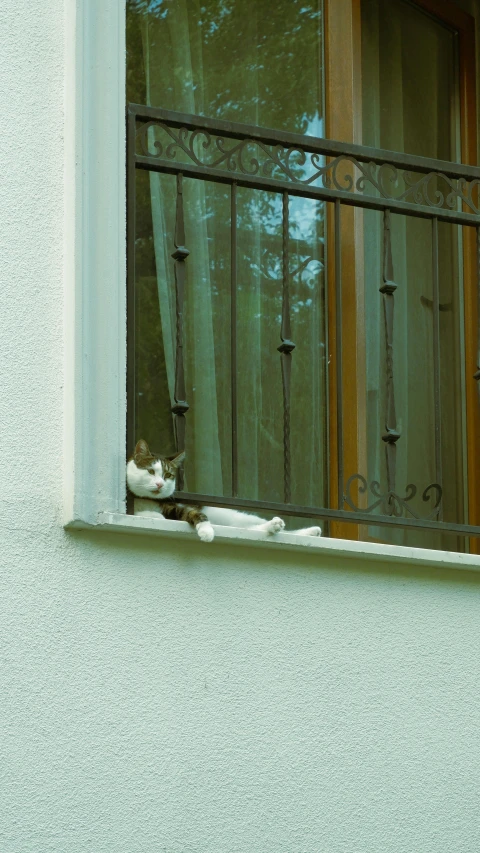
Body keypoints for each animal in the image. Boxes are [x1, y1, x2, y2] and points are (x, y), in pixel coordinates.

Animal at [127, 436, 322, 544]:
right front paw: (152, 514)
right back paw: (278, 527)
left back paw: (303, 530)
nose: (160, 484)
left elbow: (195, 514)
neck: (145, 500)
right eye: (151, 472)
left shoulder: (178, 506)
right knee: (253, 529)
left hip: (235, 517)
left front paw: (206, 532)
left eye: (167, 475)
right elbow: (140, 513)